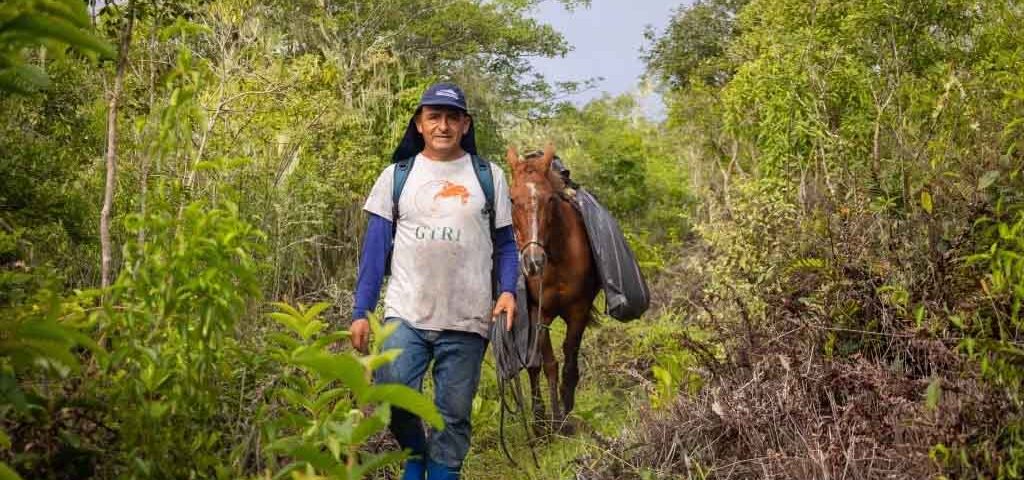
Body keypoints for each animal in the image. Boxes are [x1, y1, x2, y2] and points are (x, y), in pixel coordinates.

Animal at [505, 143, 598, 429]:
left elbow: (569, 361)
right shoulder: (539, 313)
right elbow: (546, 365)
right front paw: (547, 420)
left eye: (549, 199)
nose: (533, 262)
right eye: (511, 199)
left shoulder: (579, 310)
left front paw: (565, 412)